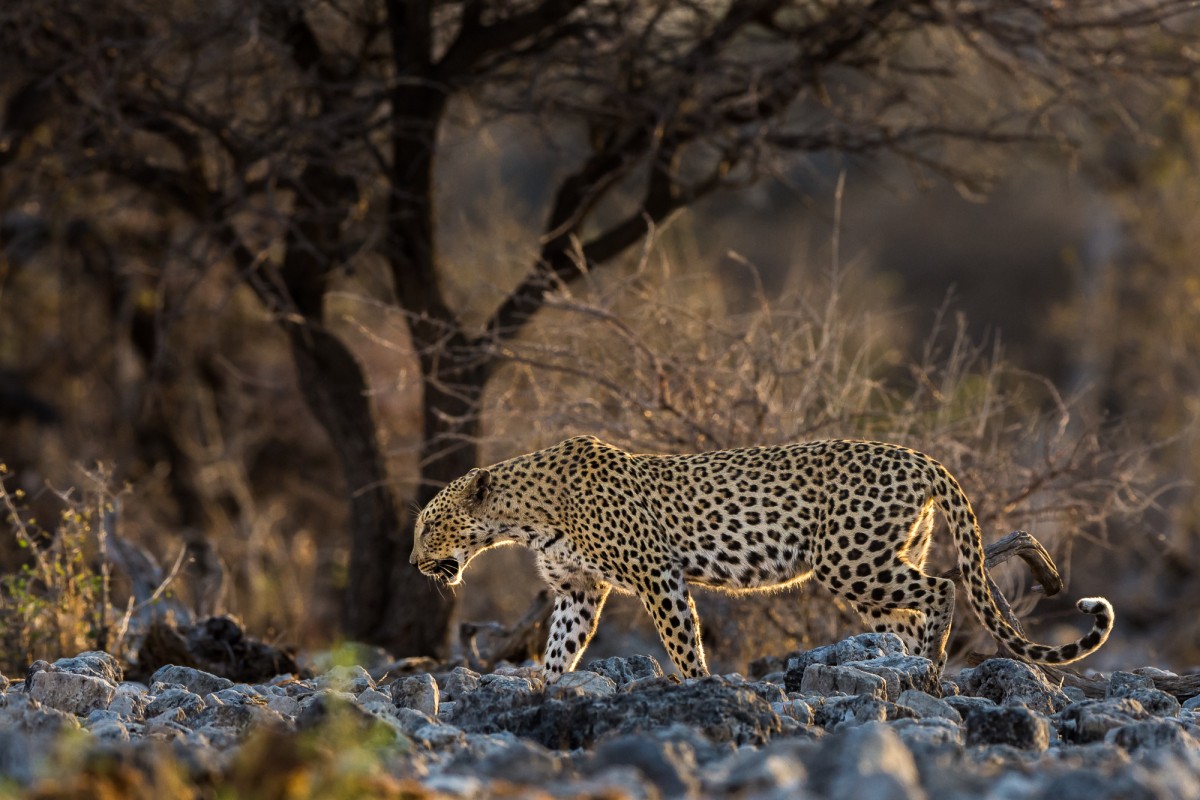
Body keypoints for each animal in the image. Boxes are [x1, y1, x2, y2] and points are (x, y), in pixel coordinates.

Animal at [412, 434, 1113, 681]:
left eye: (427, 524)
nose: (415, 563)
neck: (523, 519)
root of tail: (920, 455)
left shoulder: (657, 574)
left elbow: (683, 641)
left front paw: (697, 689)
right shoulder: (578, 592)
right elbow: (560, 647)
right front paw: (548, 689)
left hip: (850, 561)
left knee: (940, 591)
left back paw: (933, 669)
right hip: (875, 566)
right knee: (910, 611)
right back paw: (907, 672)